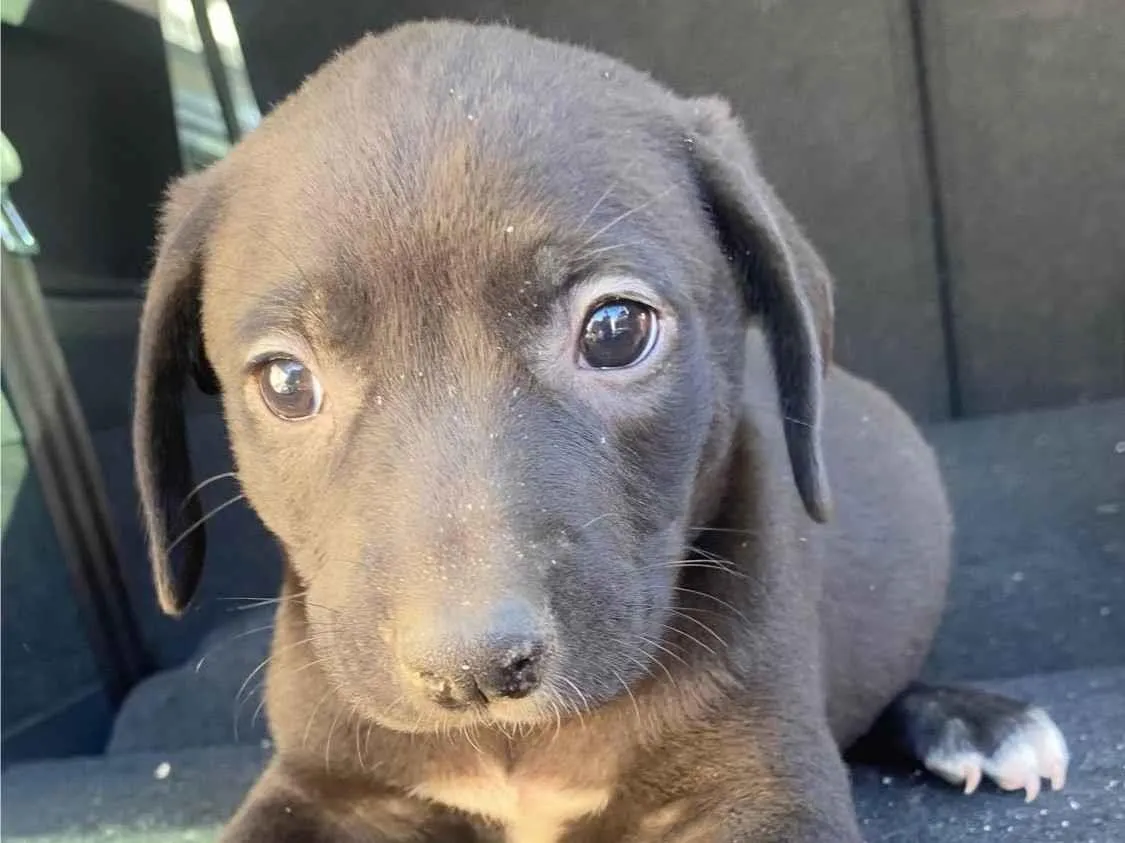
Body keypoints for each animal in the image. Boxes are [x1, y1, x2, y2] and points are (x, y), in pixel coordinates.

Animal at [133, 21, 1069, 842]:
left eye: (616, 329)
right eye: (286, 381)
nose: (473, 669)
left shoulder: (755, 774)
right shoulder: (327, 785)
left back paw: (974, 721)